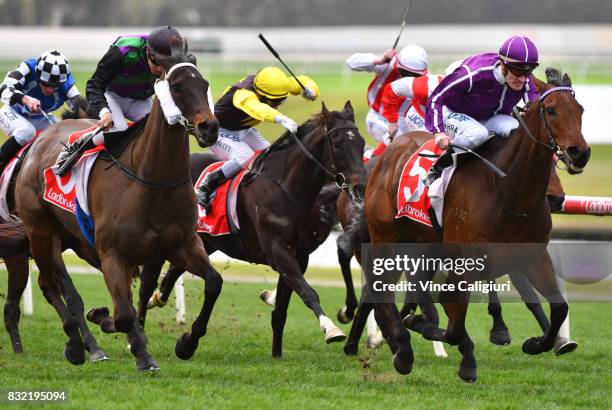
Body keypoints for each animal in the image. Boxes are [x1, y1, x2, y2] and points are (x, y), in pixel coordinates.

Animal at [13, 43, 220, 370]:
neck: (152, 183)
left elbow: (213, 282)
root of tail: (40, 141)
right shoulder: (112, 253)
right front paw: (131, 342)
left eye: (204, 84)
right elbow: (123, 315)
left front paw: (186, 343)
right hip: (41, 232)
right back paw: (76, 346)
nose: (209, 127)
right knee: (48, 283)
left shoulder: (183, 245)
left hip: (77, 240)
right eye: (176, 87)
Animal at [137, 101, 368, 358]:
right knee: (147, 282)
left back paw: (161, 300)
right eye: (337, 144)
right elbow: (308, 293)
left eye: (361, 142)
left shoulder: (299, 255)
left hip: (206, 241)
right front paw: (330, 329)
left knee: (176, 270)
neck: (287, 190)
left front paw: (277, 354)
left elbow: (282, 309)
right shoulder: (278, 251)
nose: (361, 186)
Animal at [346, 69, 592, 382]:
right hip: (385, 237)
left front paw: (538, 342)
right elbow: (452, 323)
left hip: (425, 245)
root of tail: (391, 150)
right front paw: (430, 332)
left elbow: (559, 307)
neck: (508, 191)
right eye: (551, 110)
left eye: (580, 109)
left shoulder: (532, 255)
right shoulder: (466, 260)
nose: (579, 152)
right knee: (381, 287)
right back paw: (401, 349)